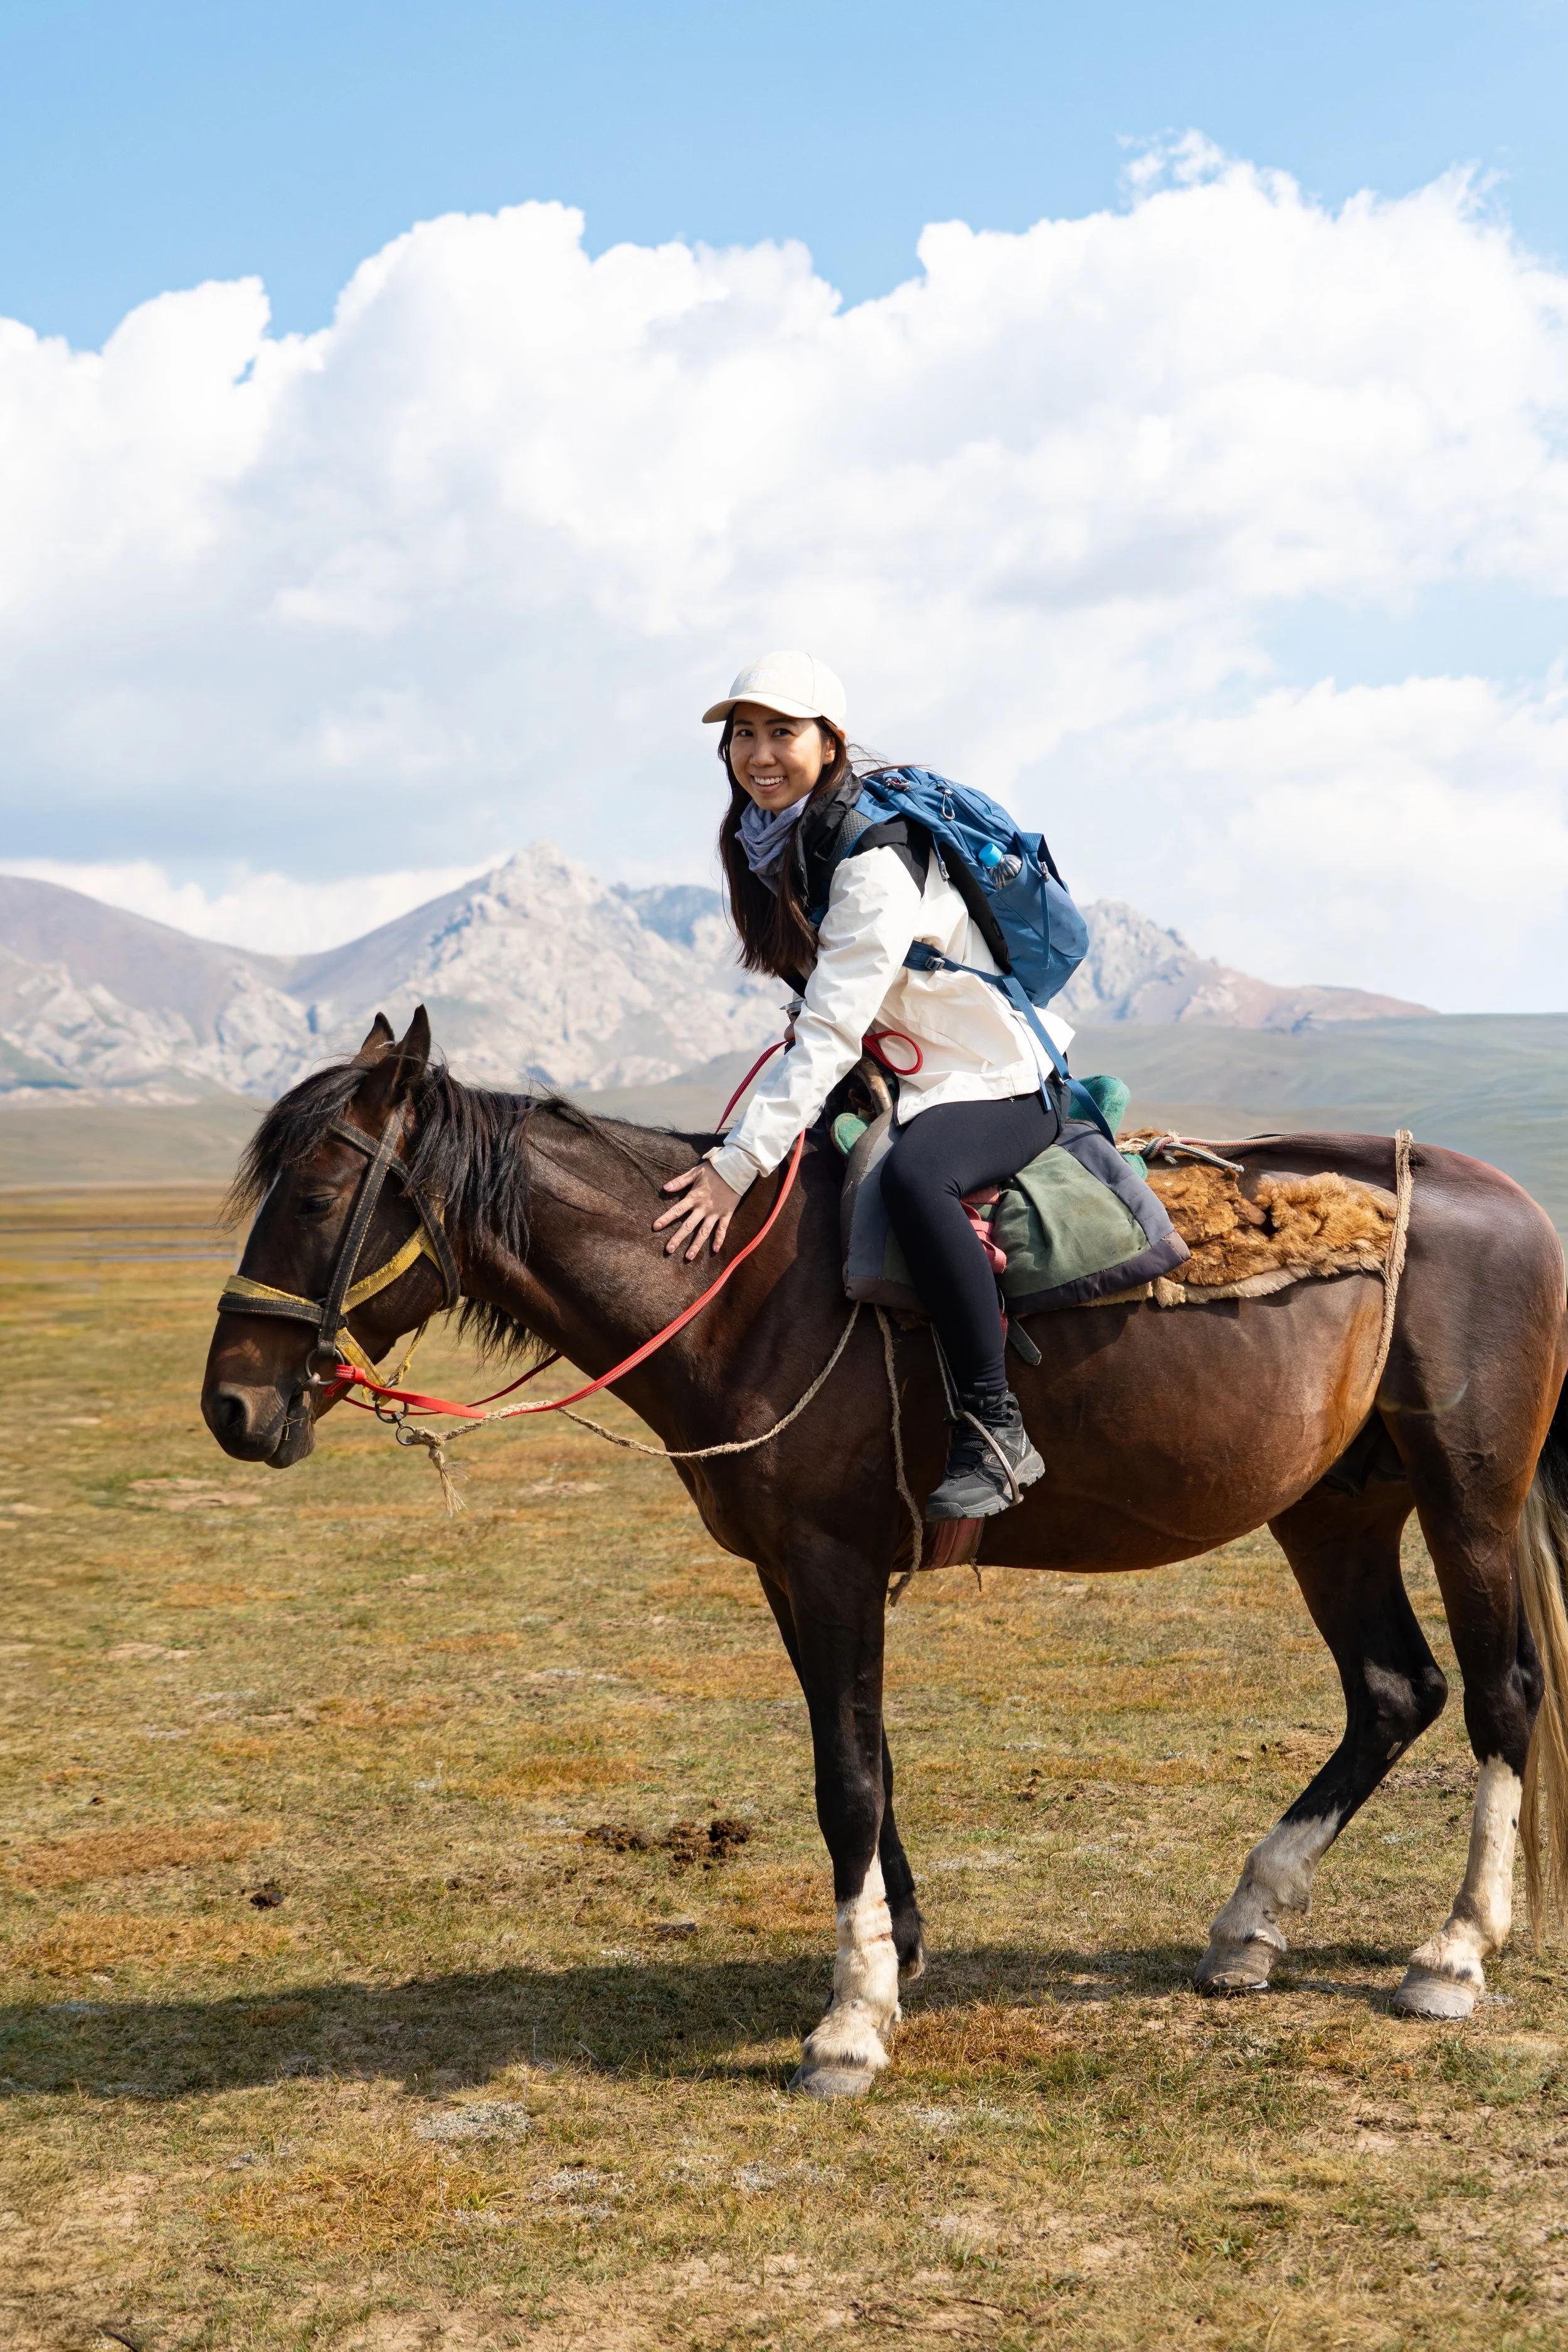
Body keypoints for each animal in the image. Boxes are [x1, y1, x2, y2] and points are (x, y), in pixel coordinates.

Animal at [201, 1008, 1568, 2098]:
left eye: (317, 1198)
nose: (231, 1405)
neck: (745, 1299)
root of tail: (1510, 1198)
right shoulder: (790, 1571)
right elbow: (865, 1760)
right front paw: (893, 1952)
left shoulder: (831, 1562)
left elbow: (846, 1780)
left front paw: (850, 2025)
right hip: (1334, 1508)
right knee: (1393, 1690)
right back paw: (1246, 1926)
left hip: (1465, 1495)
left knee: (1497, 1693)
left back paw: (1452, 1952)